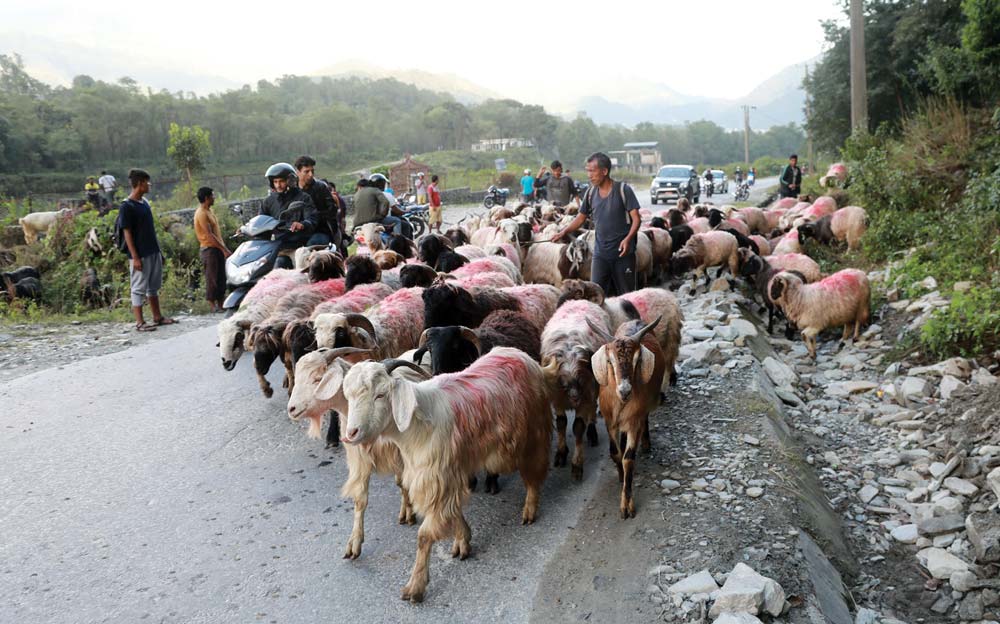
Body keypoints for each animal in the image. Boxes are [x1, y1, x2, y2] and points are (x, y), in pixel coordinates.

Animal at [342, 348, 548, 604]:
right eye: (348, 396)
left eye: (381, 395)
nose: (351, 433)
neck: (416, 427)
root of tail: (521, 355)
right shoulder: (445, 474)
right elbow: (453, 509)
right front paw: (463, 539)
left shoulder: (438, 476)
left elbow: (424, 535)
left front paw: (415, 587)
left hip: (534, 431)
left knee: (534, 471)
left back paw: (530, 509)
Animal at [544, 300, 612, 480]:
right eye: (562, 381)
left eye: (580, 378)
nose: (575, 398)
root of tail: (579, 300)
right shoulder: (558, 399)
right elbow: (561, 423)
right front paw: (561, 454)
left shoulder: (586, 394)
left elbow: (578, 427)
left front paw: (577, 465)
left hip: (593, 390)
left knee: (592, 411)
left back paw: (592, 433)